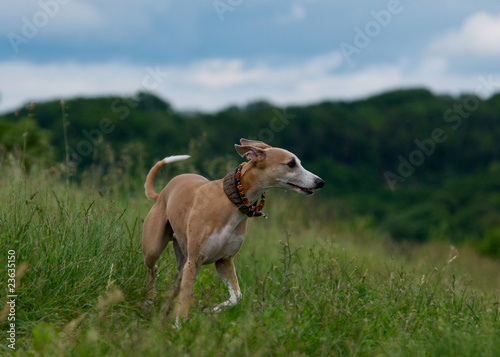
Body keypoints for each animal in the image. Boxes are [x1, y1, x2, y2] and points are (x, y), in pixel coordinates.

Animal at [143, 138, 326, 322]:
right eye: (291, 163)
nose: (320, 182)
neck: (231, 200)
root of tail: (163, 192)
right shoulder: (194, 261)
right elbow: (185, 300)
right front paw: (180, 325)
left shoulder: (224, 261)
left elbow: (237, 296)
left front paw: (213, 310)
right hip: (155, 248)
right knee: (154, 269)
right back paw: (149, 303)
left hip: (183, 261)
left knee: (175, 284)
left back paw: (162, 313)